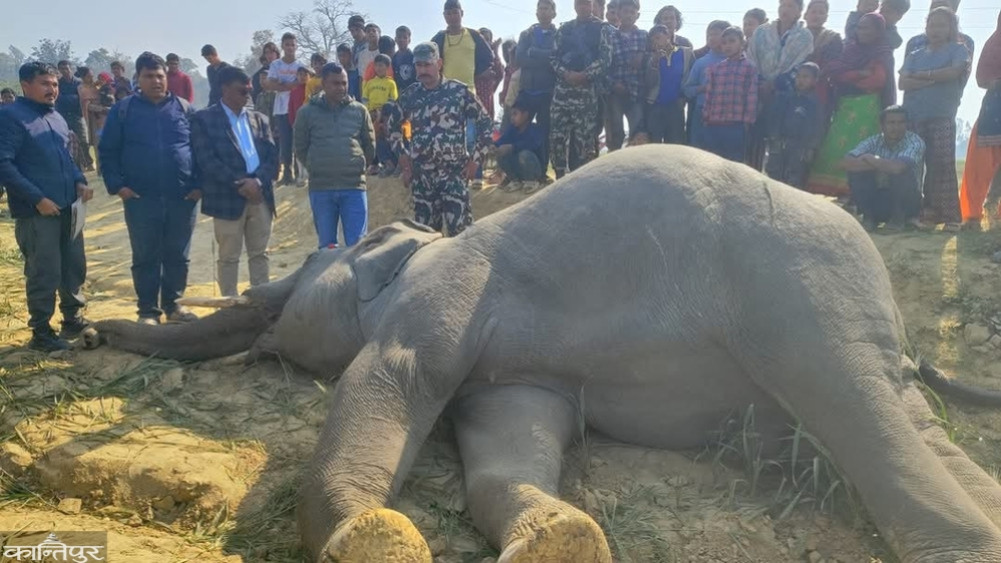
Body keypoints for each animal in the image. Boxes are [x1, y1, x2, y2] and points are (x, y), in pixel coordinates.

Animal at [84, 145, 1001, 563]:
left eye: (304, 267)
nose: (90, 331)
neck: (423, 240)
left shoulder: (447, 289)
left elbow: (389, 375)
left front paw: (371, 541)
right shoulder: (515, 374)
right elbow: (506, 451)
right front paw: (560, 537)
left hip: (798, 288)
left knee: (853, 409)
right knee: (908, 425)